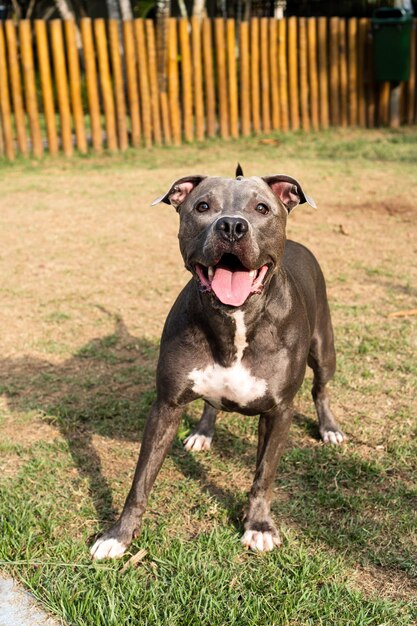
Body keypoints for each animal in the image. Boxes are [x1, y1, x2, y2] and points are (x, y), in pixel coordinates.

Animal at [90, 167, 342, 556]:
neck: (234, 320)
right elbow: (141, 480)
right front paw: (119, 535)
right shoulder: (166, 406)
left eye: (262, 208)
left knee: (321, 388)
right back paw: (203, 432)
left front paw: (258, 525)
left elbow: (264, 475)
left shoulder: (279, 412)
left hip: (324, 349)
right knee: (212, 403)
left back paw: (329, 427)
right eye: (203, 206)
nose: (232, 226)